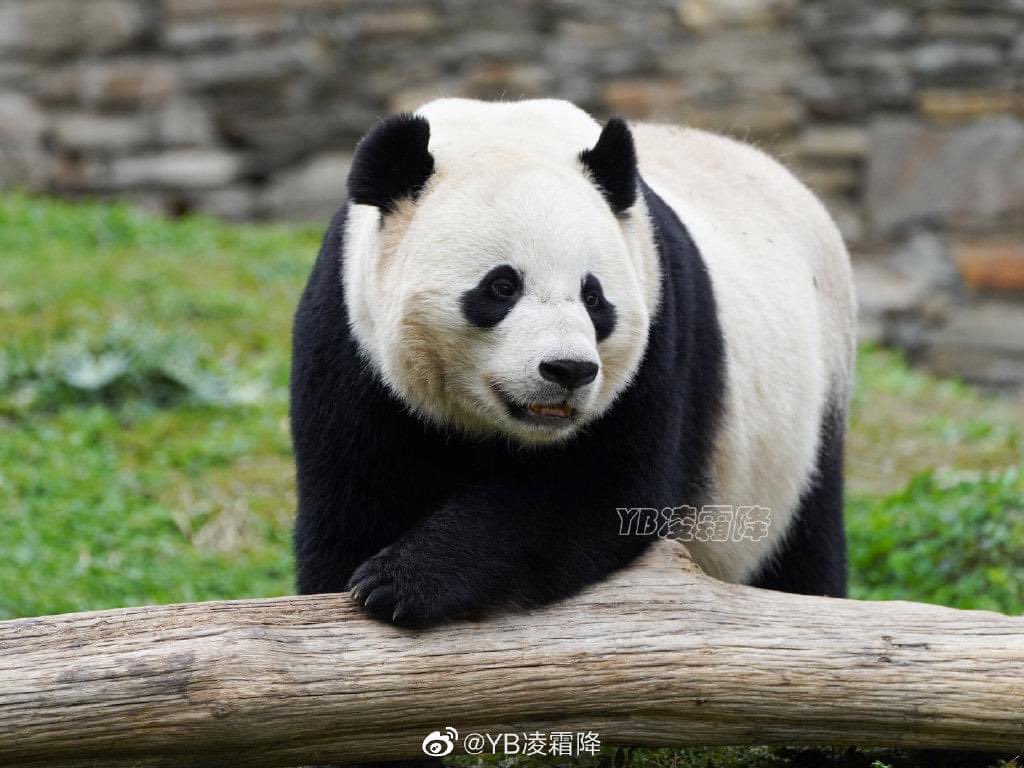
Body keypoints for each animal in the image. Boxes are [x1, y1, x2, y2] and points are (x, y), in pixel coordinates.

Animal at [291, 97, 856, 631]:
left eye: (593, 296)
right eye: (501, 286)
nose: (568, 370)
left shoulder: (660, 334)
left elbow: (596, 492)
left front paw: (402, 581)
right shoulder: (351, 336)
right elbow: (354, 498)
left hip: (807, 417)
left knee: (804, 548)